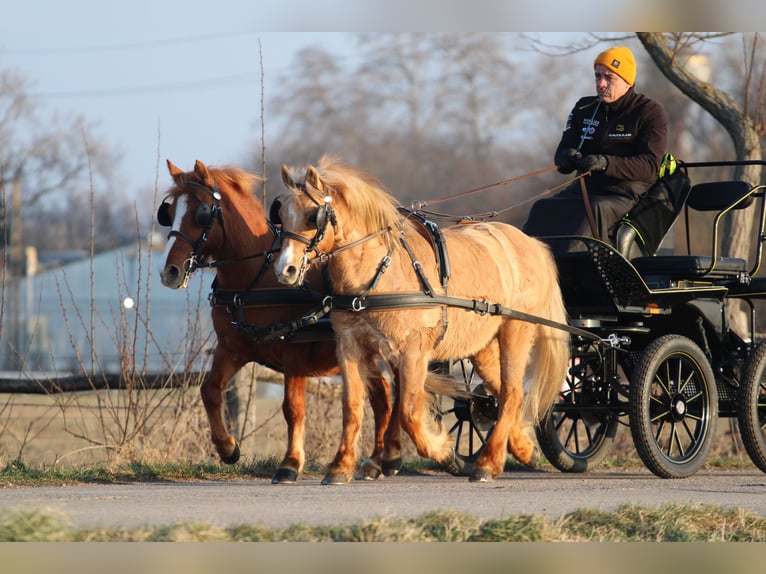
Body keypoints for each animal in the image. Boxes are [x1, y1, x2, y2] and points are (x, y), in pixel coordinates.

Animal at [158, 160, 400, 484]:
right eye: (169, 212)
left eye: (202, 213)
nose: (169, 272)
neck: (254, 279)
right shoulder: (232, 348)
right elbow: (209, 391)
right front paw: (228, 448)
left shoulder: (295, 352)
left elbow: (293, 407)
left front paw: (290, 463)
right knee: (383, 398)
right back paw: (374, 462)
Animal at [274, 155, 568, 484]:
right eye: (280, 215)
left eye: (313, 216)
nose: (284, 270)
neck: (379, 274)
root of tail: (529, 243)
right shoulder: (351, 347)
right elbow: (352, 407)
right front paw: (342, 465)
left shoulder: (413, 350)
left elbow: (408, 411)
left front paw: (442, 450)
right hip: (482, 347)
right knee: (503, 392)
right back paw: (522, 449)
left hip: (516, 331)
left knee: (513, 392)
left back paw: (488, 462)